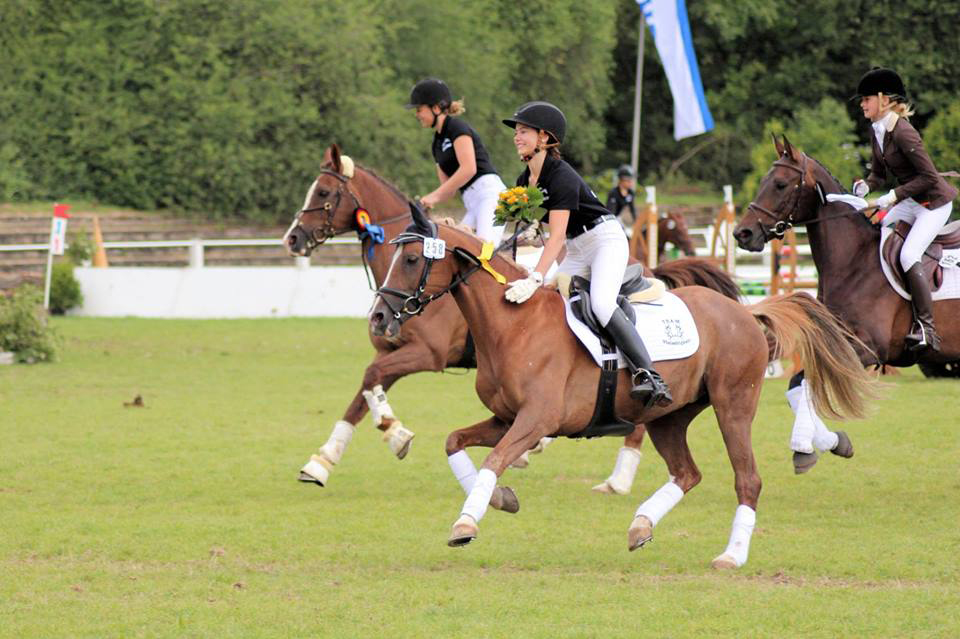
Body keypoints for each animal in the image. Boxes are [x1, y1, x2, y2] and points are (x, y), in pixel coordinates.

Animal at [284, 145, 744, 490]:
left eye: (322, 193)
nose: (292, 238)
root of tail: (642, 265)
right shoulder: (394, 348)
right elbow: (365, 389)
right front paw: (324, 460)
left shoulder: (428, 353)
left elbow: (373, 380)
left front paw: (395, 434)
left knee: (638, 408)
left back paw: (617, 476)